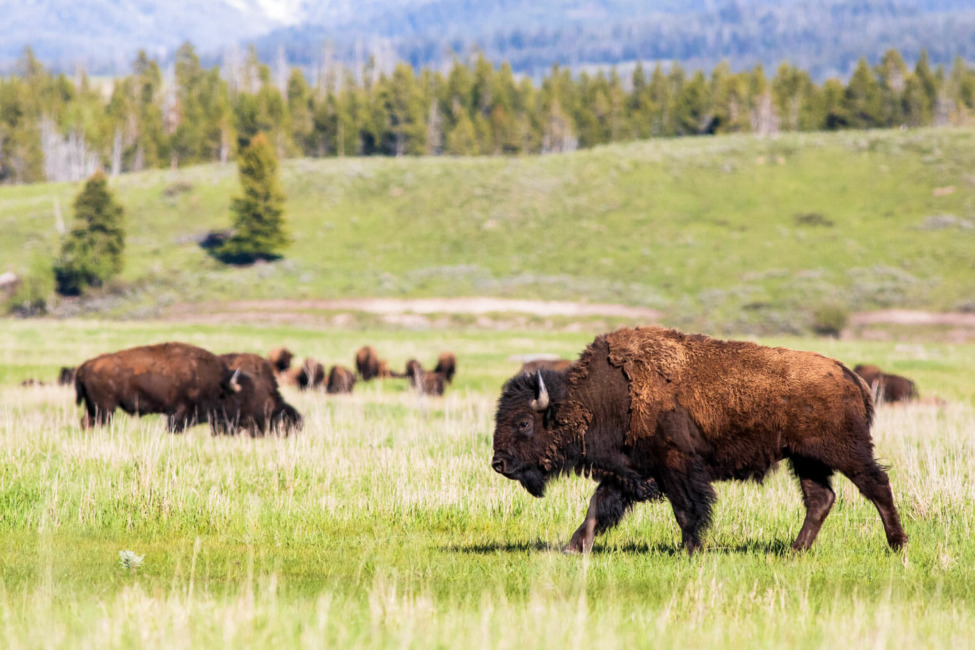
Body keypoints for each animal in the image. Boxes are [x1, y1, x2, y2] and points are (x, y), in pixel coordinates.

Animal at [75, 342, 242, 432]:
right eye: (226, 397)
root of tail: (85, 365)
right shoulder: (180, 412)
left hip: (94, 408)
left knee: (86, 422)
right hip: (105, 409)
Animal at [492, 326, 907, 555]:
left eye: (524, 422)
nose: (499, 463)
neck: (602, 397)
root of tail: (848, 374)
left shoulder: (675, 465)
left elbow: (687, 509)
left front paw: (689, 550)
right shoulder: (628, 470)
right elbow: (598, 507)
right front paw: (572, 548)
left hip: (843, 451)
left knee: (876, 484)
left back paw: (897, 544)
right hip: (805, 460)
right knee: (821, 499)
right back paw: (794, 551)